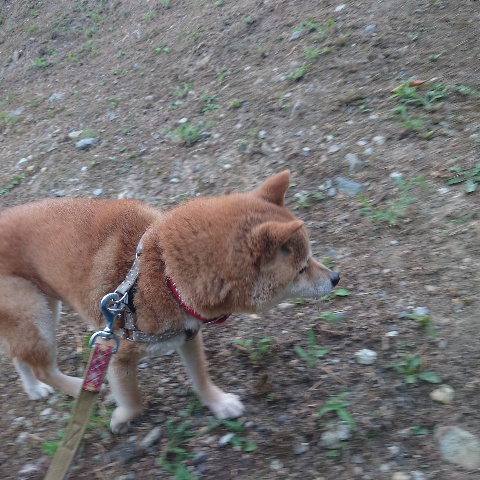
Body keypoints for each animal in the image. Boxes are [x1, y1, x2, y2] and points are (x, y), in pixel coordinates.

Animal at [0, 170, 339, 433]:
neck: (163, 272)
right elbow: (135, 402)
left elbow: (201, 377)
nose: (336, 277)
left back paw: (34, 388)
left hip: (43, 310)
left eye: (310, 258)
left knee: (19, 357)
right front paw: (121, 418)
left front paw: (218, 403)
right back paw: (78, 388)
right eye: (302, 268)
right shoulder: (115, 351)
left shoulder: (188, 336)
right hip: (36, 314)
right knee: (40, 366)